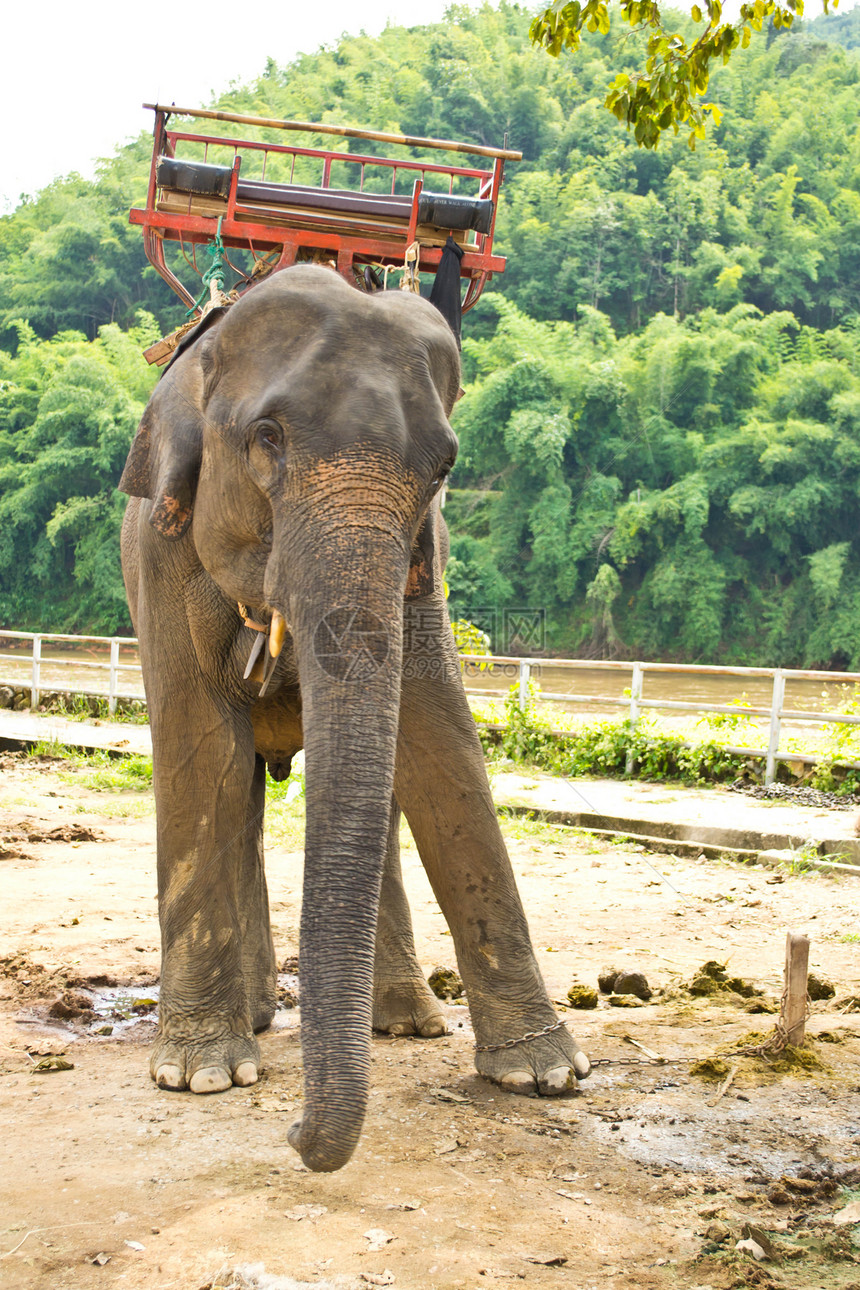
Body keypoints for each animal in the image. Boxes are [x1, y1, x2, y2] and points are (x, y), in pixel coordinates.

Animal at [119, 267, 593, 1176]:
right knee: (240, 795)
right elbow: (199, 751)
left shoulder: (426, 557)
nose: (295, 1134)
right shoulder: (163, 555)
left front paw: (547, 1074)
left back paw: (406, 1023)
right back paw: (256, 1022)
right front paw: (200, 1077)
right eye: (266, 437)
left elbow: (441, 748)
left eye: (444, 466)